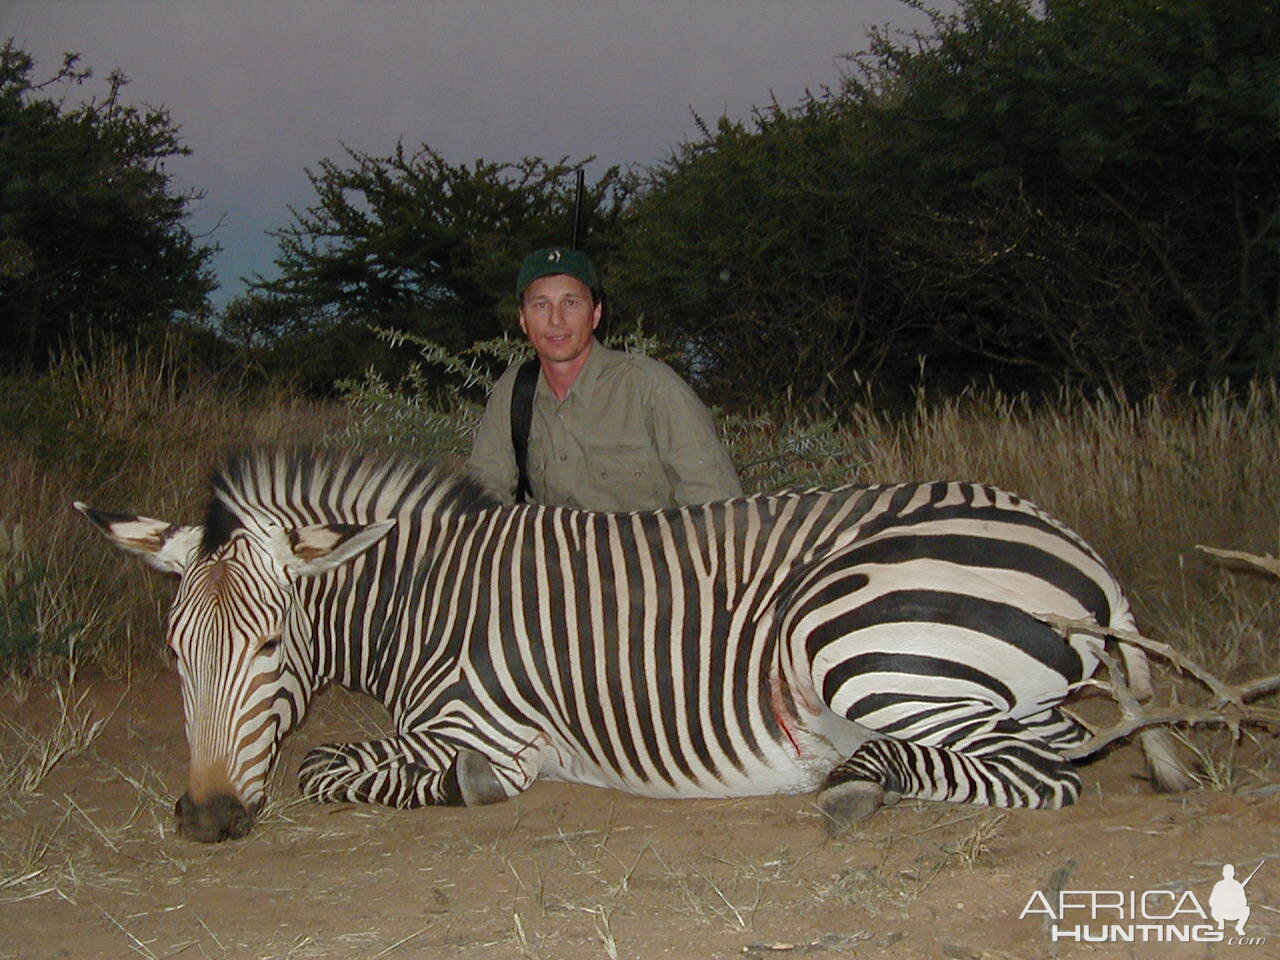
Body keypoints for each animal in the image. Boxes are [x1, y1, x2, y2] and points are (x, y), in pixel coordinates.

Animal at [77, 448, 1187, 844]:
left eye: (270, 645)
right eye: (175, 655)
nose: (207, 820)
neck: (422, 597)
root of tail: (1080, 549)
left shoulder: (480, 726)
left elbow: (323, 765)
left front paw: (466, 790)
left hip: (857, 637)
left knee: (1045, 778)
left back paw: (851, 781)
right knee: (1044, 750)